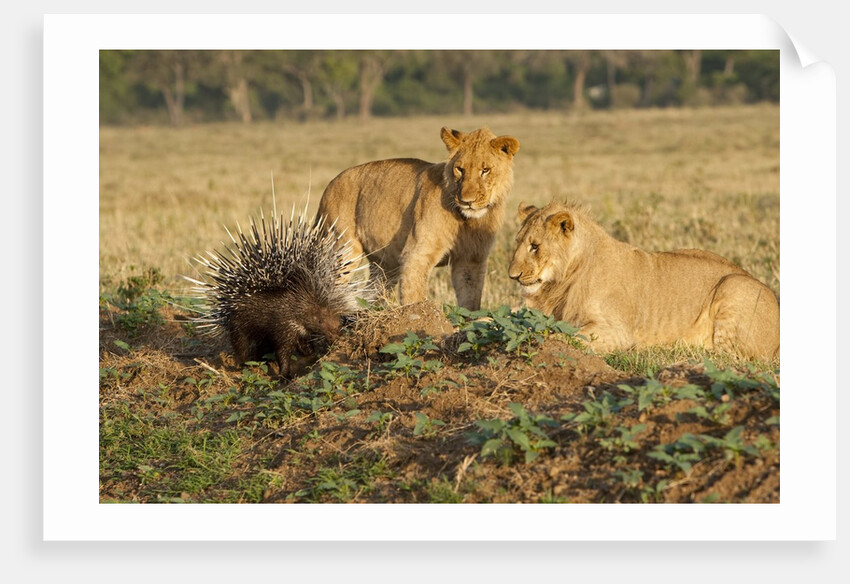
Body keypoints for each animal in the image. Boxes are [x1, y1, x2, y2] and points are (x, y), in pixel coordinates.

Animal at [317, 126, 520, 310]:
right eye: (460, 169)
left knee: (369, 293)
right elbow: (414, 298)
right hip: (343, 249)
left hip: (385, 265)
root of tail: (330, 184)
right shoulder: (416, 255)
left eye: (485, 170)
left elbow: (470, 303)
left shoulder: (471, 259)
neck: (468, 220)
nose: (466, 201)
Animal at [508, 201, 780, 360]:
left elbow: (563, 337)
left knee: (725, 357)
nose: (513, 276)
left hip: (733, 285)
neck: (559, 283)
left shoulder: (616, 331)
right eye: (517, 242)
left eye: (535, 246)